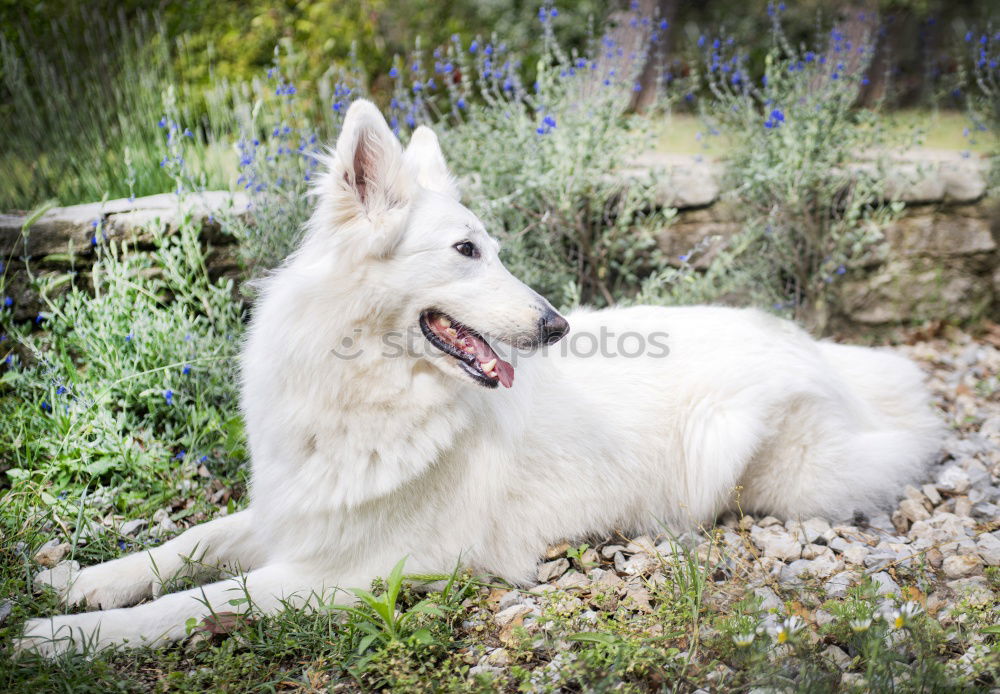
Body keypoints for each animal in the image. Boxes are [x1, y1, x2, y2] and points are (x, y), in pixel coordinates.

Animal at [15, 99, 940, 656]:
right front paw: (80, 583)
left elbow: (196, 600)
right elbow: (188, 546)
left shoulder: (349, 572)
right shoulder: (298, 510)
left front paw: (55, 640)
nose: (556, 325)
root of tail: (816, 349)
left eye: (491, 249)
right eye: (466, 251)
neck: (368, 395)